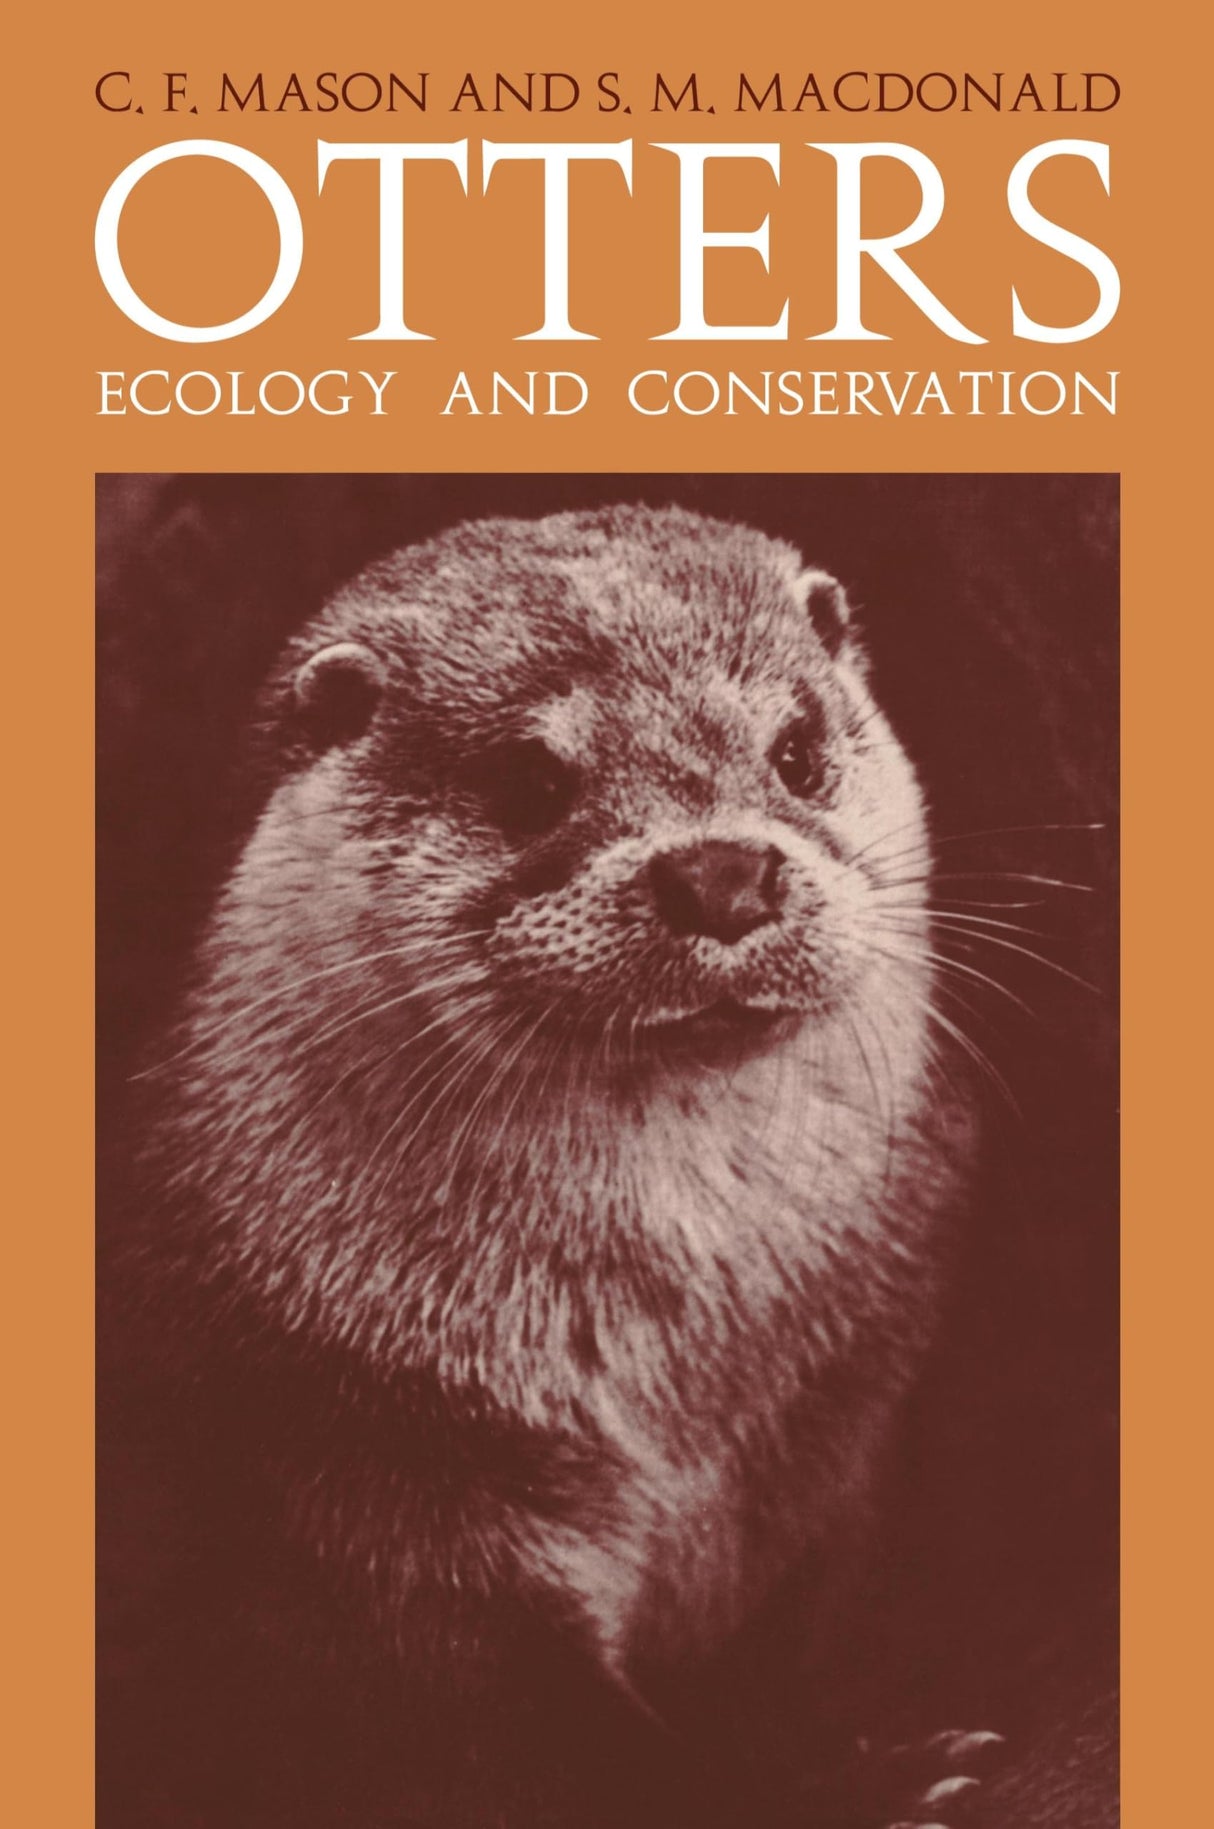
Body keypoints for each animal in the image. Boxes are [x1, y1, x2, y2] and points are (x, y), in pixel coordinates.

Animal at [103, 504, 980, 1828]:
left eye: (795, 748)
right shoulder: (345, 1476)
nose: (721, 871)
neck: (678, 1389)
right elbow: (529, 1737)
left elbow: (779, 1637)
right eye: (529, 780)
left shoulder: (832, 1418)